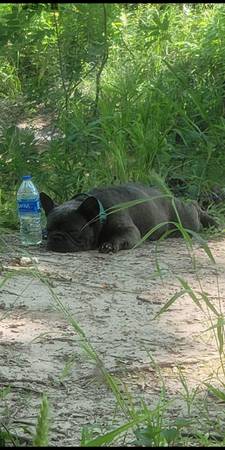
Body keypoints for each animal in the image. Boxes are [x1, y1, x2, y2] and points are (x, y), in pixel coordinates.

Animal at [40, 183, 216, 253]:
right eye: (47, 231)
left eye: (73, 232)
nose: (56, 238)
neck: (100, 211)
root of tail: (168, 194)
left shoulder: (128, 231)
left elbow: (118, 237)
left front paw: (109, 245)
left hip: (185, 221)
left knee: (193, 206)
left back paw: (212, 221)